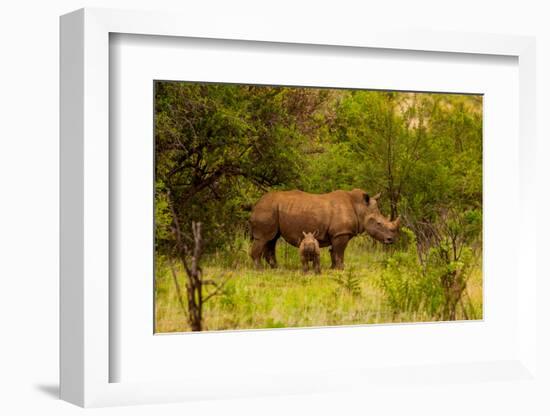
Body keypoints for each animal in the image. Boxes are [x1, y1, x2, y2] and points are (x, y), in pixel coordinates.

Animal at [250, 188, 402, 270]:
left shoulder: (336, 233)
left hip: (273, 209)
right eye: (379, 223)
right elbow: (340, 252)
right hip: (267, 209)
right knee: (264, 238)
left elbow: (334, 252)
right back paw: (259, 269)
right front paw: (341, 269)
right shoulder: (341, 233)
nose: (391, 240)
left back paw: (276, 267)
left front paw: (333, 268)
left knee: (272, 239)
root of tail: (256, 204)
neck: (361, 208)